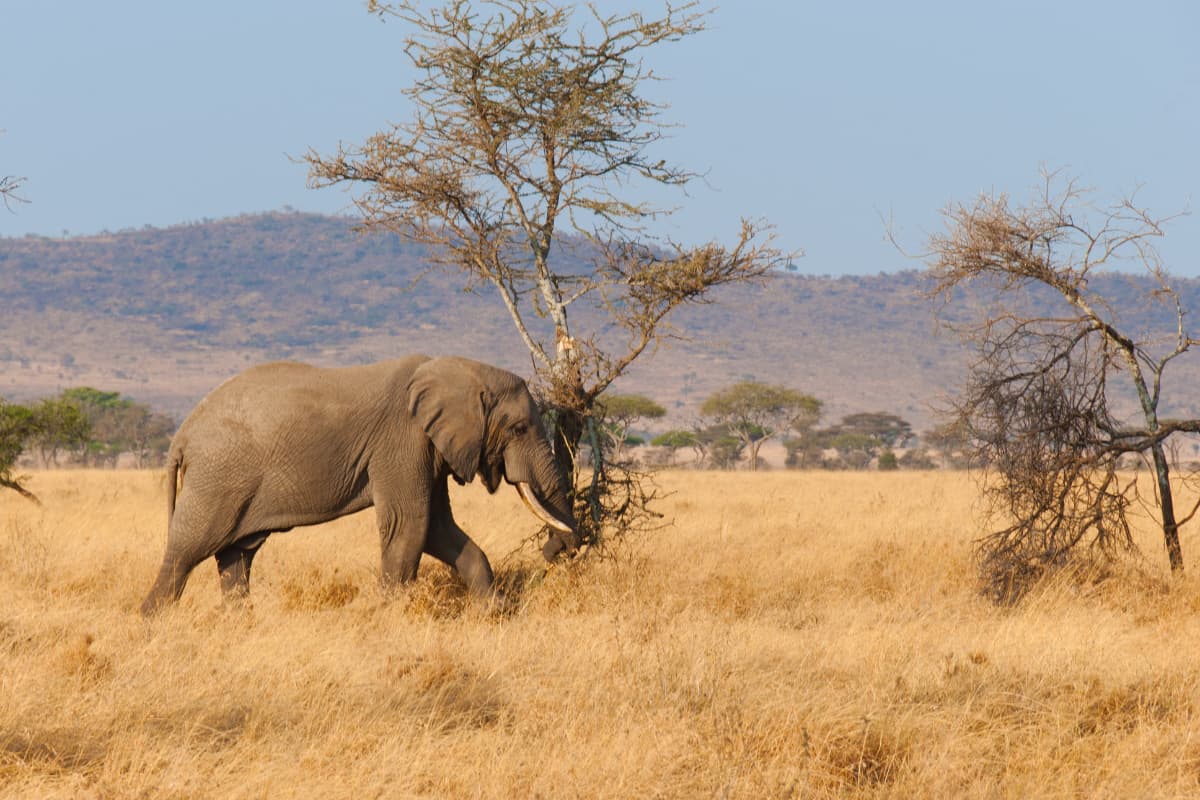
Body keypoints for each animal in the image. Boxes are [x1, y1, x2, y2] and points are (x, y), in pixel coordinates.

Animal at [140, 355, 580, 615]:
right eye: (519, 428)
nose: (553, 552)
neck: (456, 369)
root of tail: (183, 434)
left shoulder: (427, 447)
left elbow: (439, 529)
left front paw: (495, 611)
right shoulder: (403, 440)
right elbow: (411, 524)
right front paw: (390, 618)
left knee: (235, 556)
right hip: (218, 479)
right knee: (187, 550)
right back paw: (152, 621)